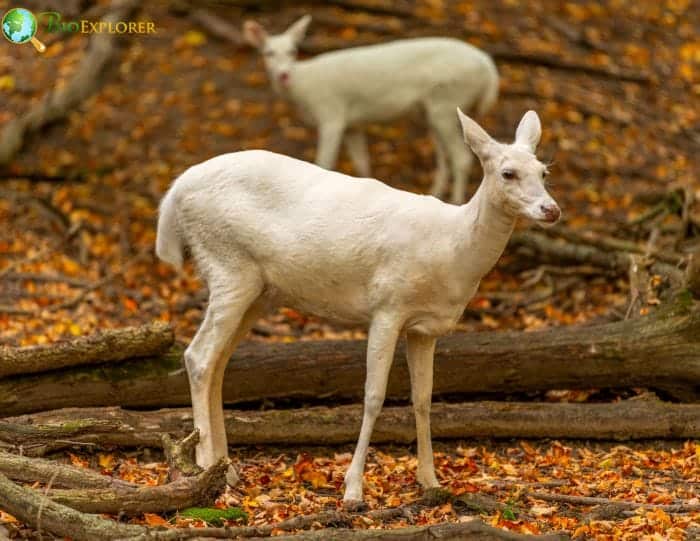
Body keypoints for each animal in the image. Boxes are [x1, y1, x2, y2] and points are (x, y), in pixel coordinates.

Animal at [156, 108, 560, 502]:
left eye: (543, 171)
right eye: (508, 173)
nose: (551, 209)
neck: (450, 249)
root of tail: (174, 194)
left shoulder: (425, 328)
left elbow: (423, 398)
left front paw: (430, 480)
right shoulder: (387, 306)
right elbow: (374, 396)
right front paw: (352, 488)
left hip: (258, 290)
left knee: (219, 364)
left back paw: (228, 469)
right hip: (227, 264)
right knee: (198, 356)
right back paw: (206, 470)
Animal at [243, 15, 500, 205]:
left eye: (293, 51)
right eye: (268, 53)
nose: (283, 75)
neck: (304, 90)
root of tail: (490, 71)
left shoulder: (331, 113)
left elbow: (323, 162)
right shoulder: (352, 124)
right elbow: (362, 164)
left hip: (447, 100)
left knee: (461, 157)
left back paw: (456, 202)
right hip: (433, 109)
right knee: (444, 155)